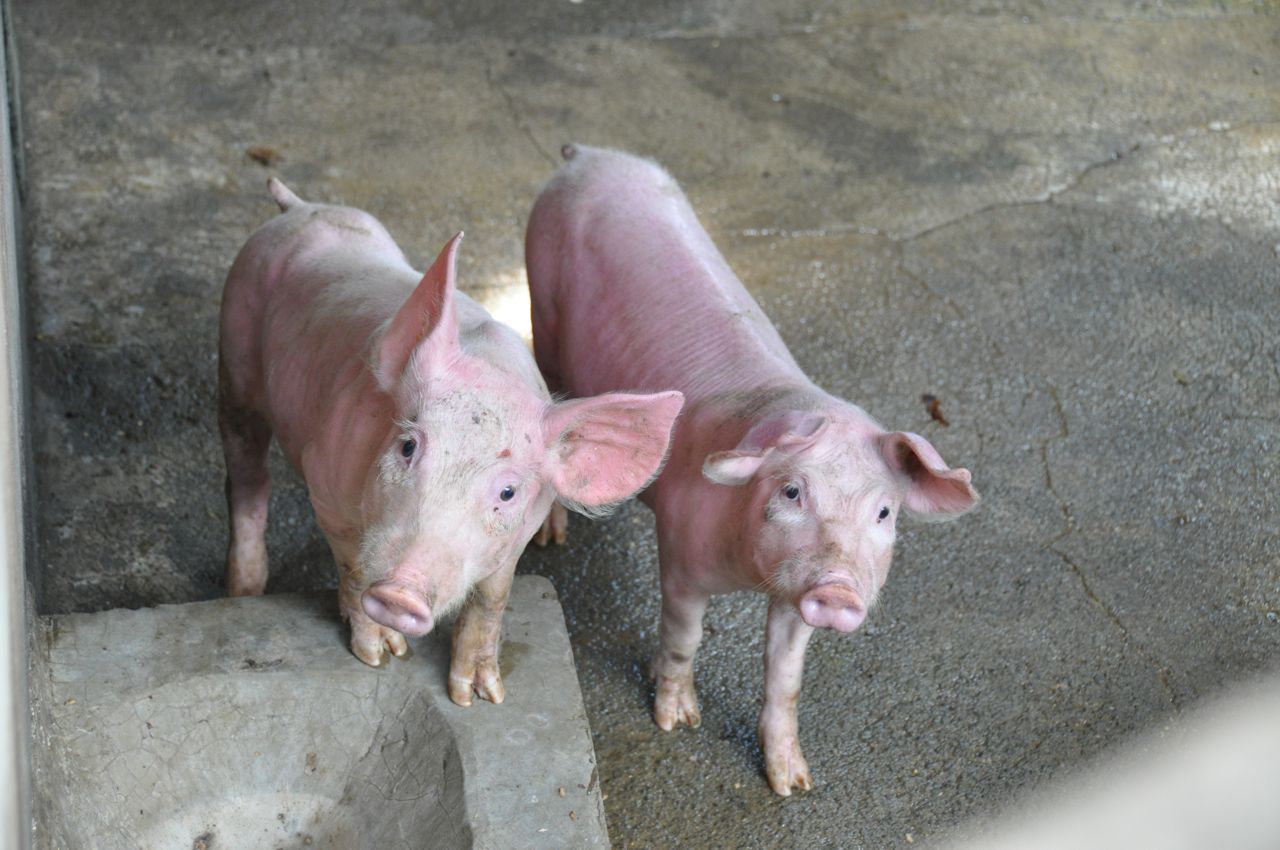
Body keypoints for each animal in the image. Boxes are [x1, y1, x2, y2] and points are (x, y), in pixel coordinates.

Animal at [219, 179, 683, 707]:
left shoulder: (517, 538)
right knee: (247, 476)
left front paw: (480, 697)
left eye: (508, 491)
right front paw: (381, 655)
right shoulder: (325, 485)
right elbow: (353, 570)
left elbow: (491, 598)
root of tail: (298, 207)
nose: (400, 593)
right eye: (408, 447)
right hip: (234, 354)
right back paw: (244, 591)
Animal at [526, 146, 978, 795]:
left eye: (884, 512)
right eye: (791, 491)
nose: (838, 589)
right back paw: (551, 536)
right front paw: (676, 722)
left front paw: (794, 784)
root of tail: (591, 154)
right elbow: (684, 638)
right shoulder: (680, 555)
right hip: (541, 300)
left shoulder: (792, 599)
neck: (750, 575)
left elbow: (785, 676)